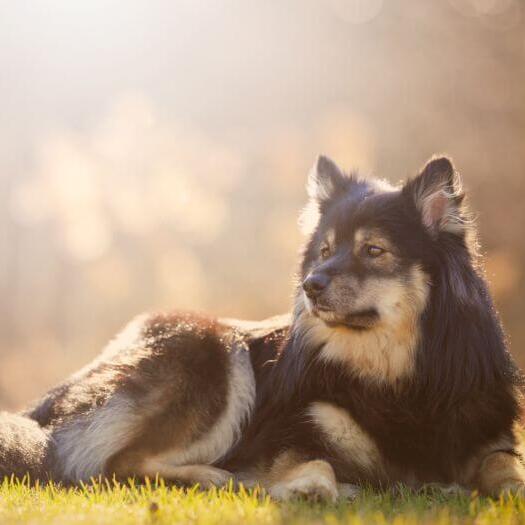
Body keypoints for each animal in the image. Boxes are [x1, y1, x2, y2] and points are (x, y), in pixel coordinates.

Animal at [0, 152, 520, 500]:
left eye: (373, 250)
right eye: (325, 250)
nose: (311, 285)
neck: (398, 378)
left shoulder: (489, 433)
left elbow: (503, 466)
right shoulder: (289, 431)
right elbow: (312, 459)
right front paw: (311, 488)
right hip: (210, 348)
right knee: (115, 465)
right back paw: (214, 477)